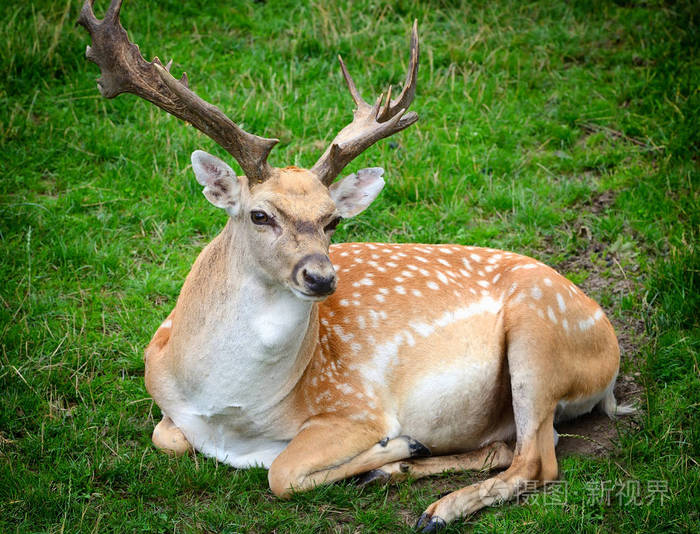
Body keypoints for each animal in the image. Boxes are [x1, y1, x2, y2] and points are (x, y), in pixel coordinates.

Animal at [79, 1, 632, 530]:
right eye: (260, 214)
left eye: (332, 221)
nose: (321, 276)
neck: (227, 408)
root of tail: (608, 350)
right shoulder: (167, 404)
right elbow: (167, 438)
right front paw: (394, 455)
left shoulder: (355, 406)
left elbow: (281, 472)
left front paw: (395, 444)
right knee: (508, 446)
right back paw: (395, 471)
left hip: (541, 335)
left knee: (539, 457)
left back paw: (432, 506)